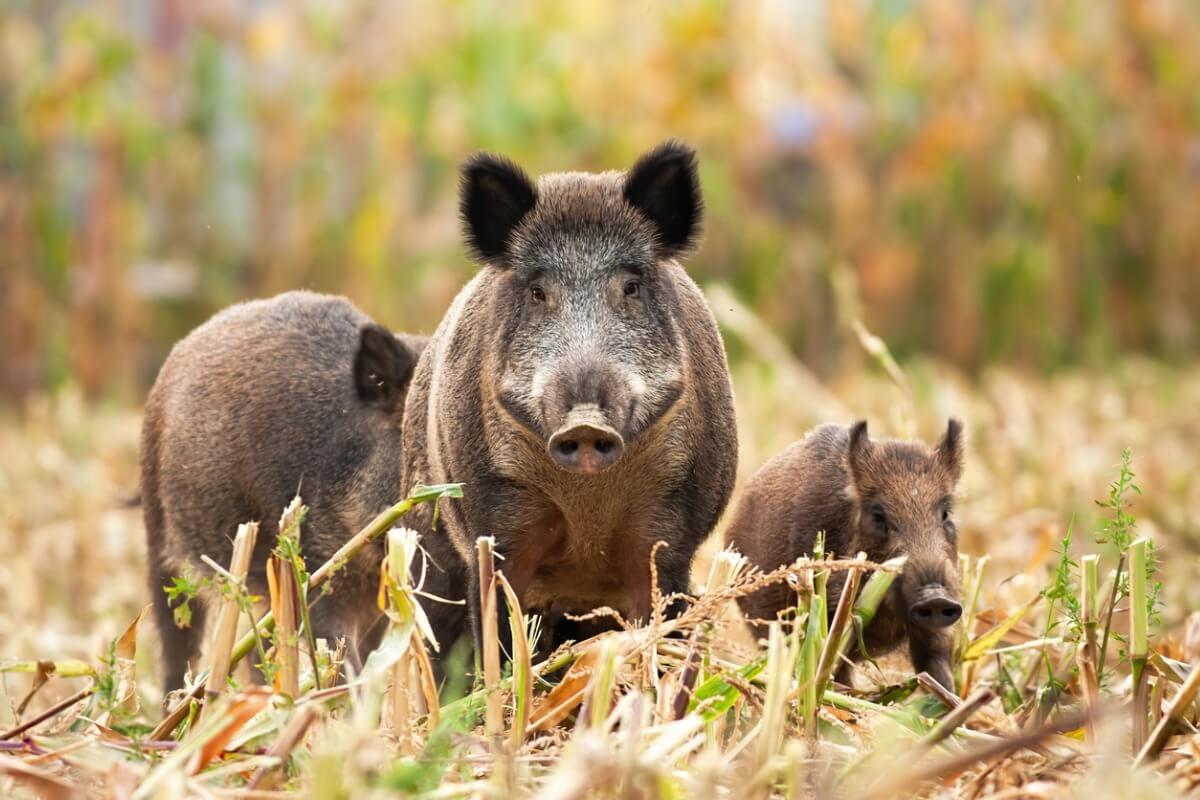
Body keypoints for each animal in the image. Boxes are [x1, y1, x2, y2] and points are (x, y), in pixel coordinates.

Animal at [402, 141, 739, 659]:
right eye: (538, 291)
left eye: (631, 286)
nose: (585, 423)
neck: (586, 513)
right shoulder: (495, 527)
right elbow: (498, 634)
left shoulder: (670, 531)